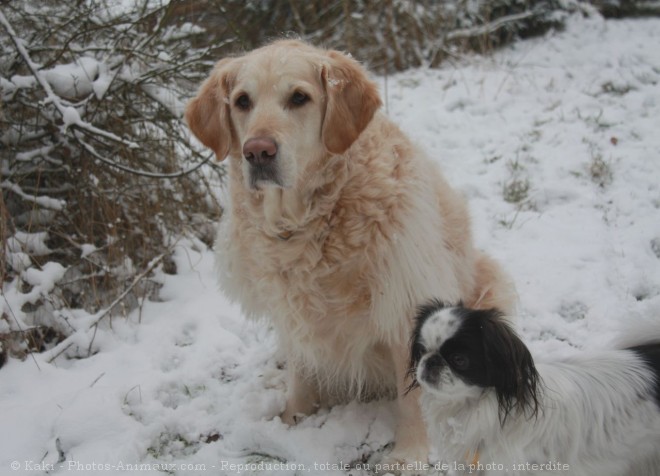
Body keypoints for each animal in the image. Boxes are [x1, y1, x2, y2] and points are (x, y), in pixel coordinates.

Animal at [186, 40, 516, 464]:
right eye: (243, 101)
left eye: (299, 97)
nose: (258, 151)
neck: (309, 220)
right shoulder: (291, 309)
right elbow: (301, 372)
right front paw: (293, 421)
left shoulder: (404, 303)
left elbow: (413, 396)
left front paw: (409, 454)